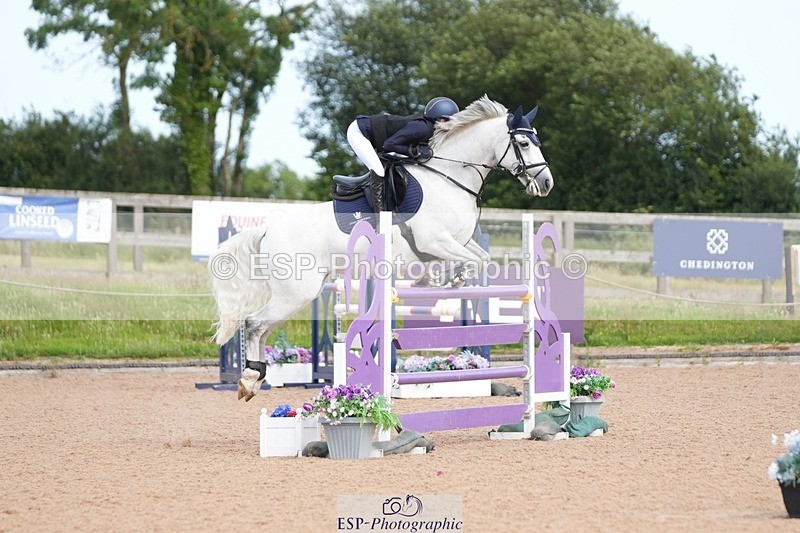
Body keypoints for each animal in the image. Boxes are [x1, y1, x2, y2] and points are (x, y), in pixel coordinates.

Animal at [208, 95, 554, 401]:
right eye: (524, 144)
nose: (546, 183)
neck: (450, 177)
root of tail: (268, 229)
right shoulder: (434, 241)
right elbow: (473, 262)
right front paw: (450, 279)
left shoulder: (457, 240)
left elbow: (481, 258)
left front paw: (447, 279)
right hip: (295, 292)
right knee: (254, 324)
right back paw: (249, 380)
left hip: (301, 292)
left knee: (262, 328)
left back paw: (254, 378)